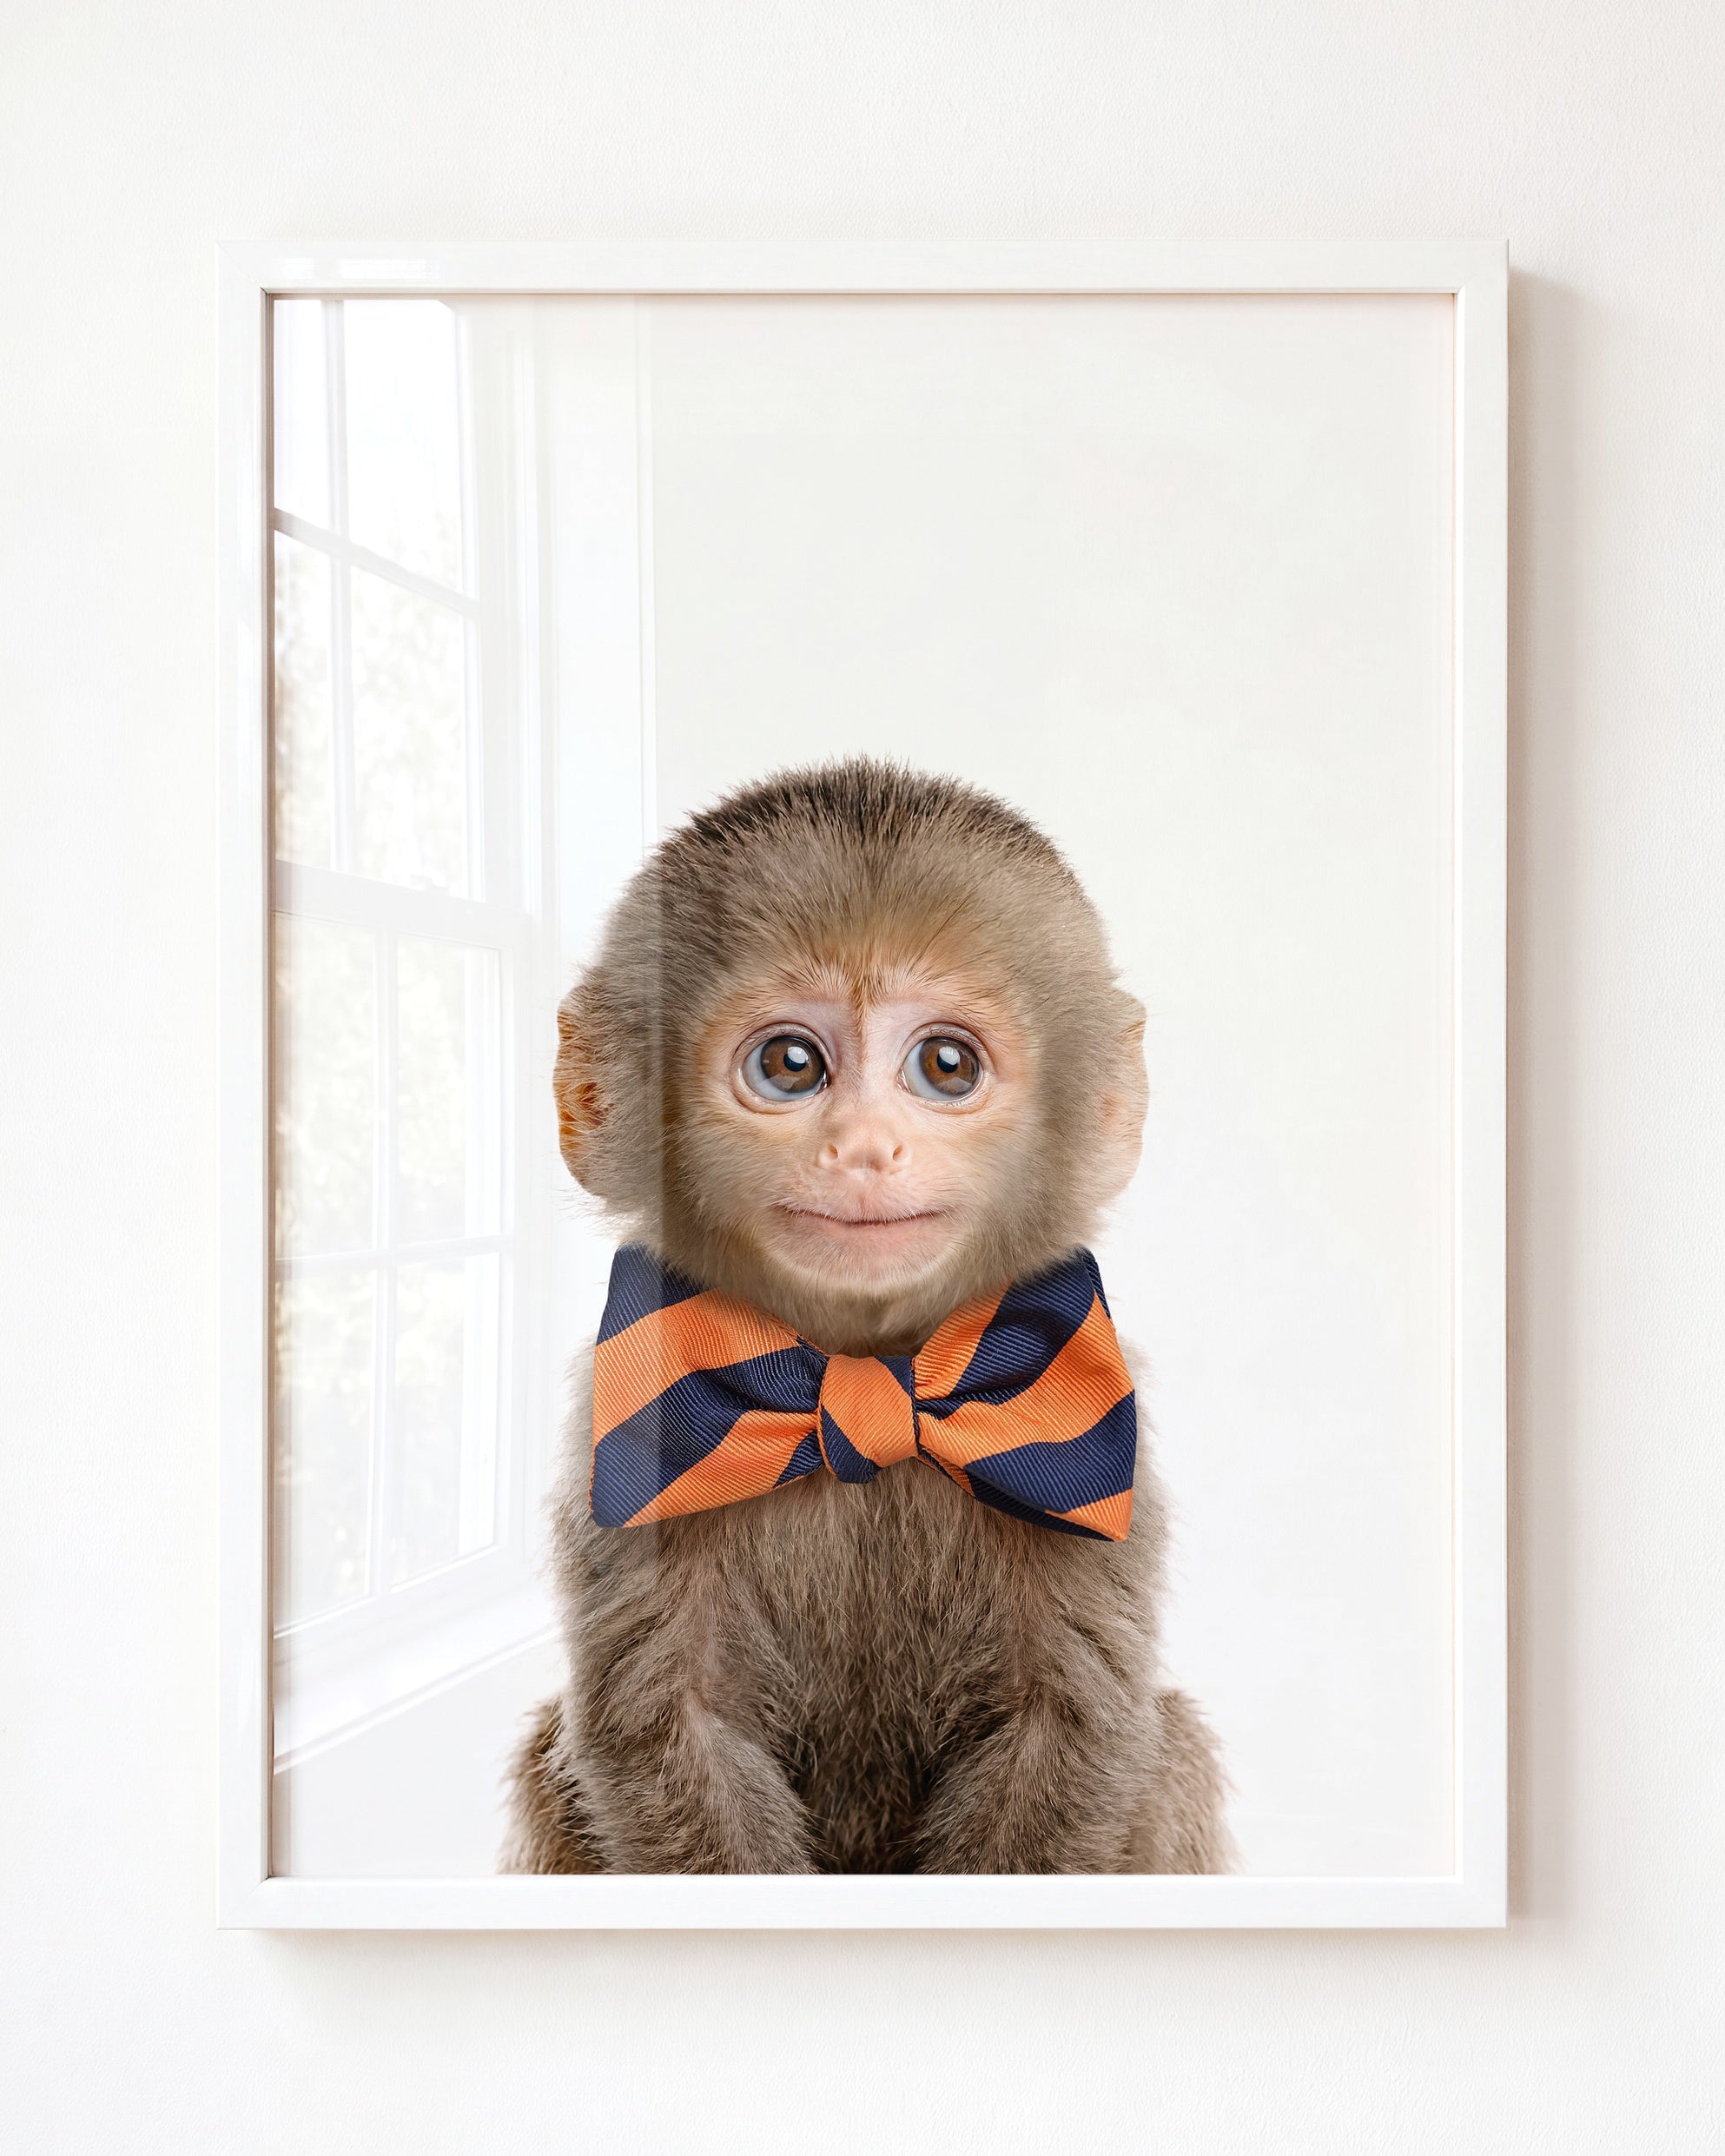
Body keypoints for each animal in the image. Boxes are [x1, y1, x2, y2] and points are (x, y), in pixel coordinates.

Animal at [501, 758, 1230, 1875]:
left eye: (945, 1066)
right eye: (790, 1065)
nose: (863, 1148)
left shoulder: (1100, 1445)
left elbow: (1069, 1730)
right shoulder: (626, 1430)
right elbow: (671, 1730)